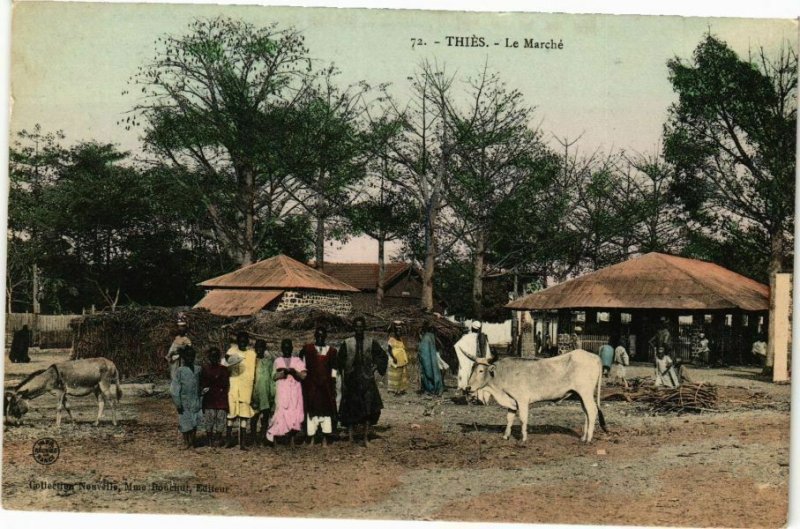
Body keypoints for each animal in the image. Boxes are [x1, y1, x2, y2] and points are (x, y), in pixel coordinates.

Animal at [462, 350, 608, 442]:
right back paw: (583, 437)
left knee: (592, 411)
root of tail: (594, 356)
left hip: (585, 392)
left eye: (481, 370)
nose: (467, 388)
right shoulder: (511, 401)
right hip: (580, 395)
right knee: (587, 412)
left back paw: (588, 439)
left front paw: (523, 438)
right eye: (472, 369)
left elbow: (522, 419)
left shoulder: (522, 400)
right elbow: (509, 418)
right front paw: (506, 436)